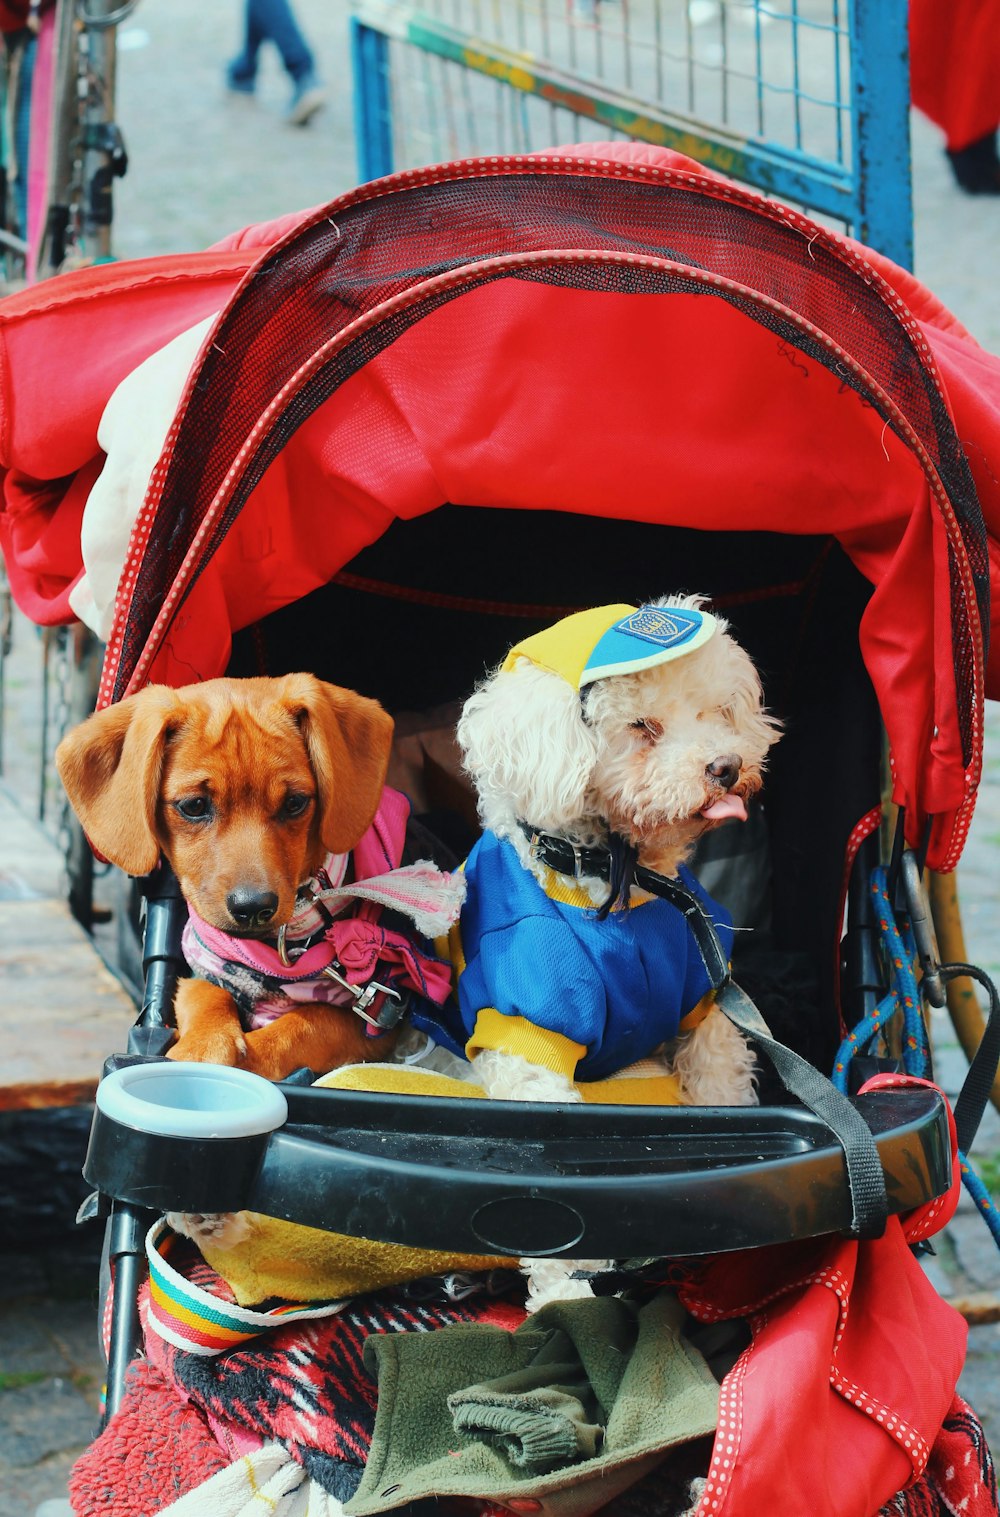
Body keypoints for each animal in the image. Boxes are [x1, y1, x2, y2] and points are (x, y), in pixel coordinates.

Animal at [56, 676, 397, 1080]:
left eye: (295, 803)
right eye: (194, 806)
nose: (253, 908)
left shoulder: (379, 1022)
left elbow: (308, 1022)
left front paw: (244, 1059)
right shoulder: (201, 969)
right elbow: (203, 993)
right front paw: (203, 1045)